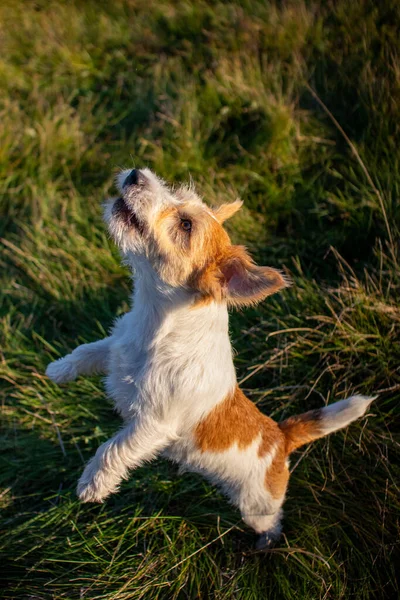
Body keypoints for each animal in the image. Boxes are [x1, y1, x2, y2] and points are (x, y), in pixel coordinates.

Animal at [46, 169, 376, 548]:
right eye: (178, 195)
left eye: (186, 224)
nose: (136, 174)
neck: (154, 321)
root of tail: (281, 438)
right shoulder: (117, 346)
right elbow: (88, 351)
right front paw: (58, 369)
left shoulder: (153, 424)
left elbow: (112, 448)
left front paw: (92, 483)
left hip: (256, 505)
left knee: (271, 520)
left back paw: (266, 543)